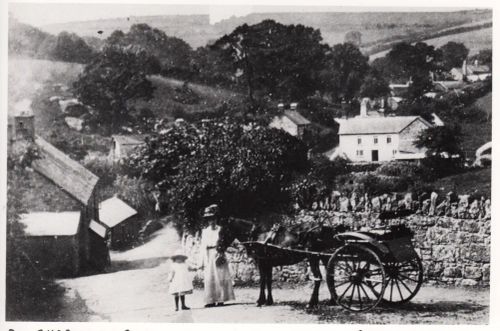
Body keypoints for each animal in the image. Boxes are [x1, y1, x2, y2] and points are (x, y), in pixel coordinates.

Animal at [217, 218, 350, 308]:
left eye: (223, 232)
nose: (218, 247)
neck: (257, 235)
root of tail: (326, 228)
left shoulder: (261, 262)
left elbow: (262, 281)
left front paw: (260, 301)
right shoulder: (268, 264)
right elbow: (268, 281)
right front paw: (269, 301)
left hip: (313, 257)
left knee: (318, 278)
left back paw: (312, 303)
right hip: (324, 257)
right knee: (329, 278)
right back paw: (332, 300)